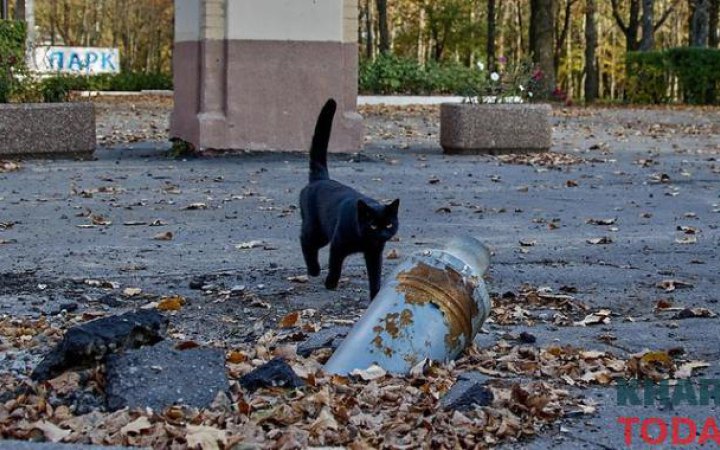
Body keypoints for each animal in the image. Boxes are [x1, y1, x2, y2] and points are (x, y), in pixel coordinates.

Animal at [298, 100, 400, 300]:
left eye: (389, 224)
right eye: (373, 225)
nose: (383, 234)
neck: (364, 241)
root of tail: (321, 178)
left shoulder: (375, 253)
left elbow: (375, 275)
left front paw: (375, 295)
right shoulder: (337, 244)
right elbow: (335, 264)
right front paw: (331, 283)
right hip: (318, 230)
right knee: (305, 240)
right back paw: (314, 270)